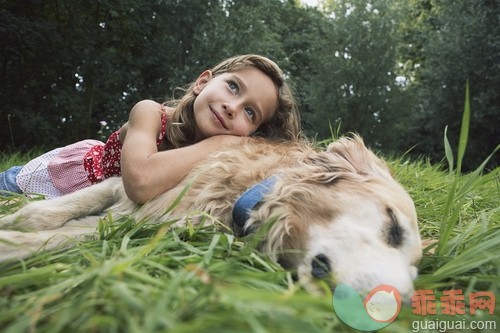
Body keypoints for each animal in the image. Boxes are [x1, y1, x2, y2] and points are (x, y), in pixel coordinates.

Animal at [0, 135, 422, 298]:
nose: (400, 304)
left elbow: (76, 233)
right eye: (393, 227)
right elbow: (53, 214)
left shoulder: (159, 222)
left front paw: (15, 242)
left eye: (416, 271)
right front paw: (16, 226)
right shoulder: (129, 188)